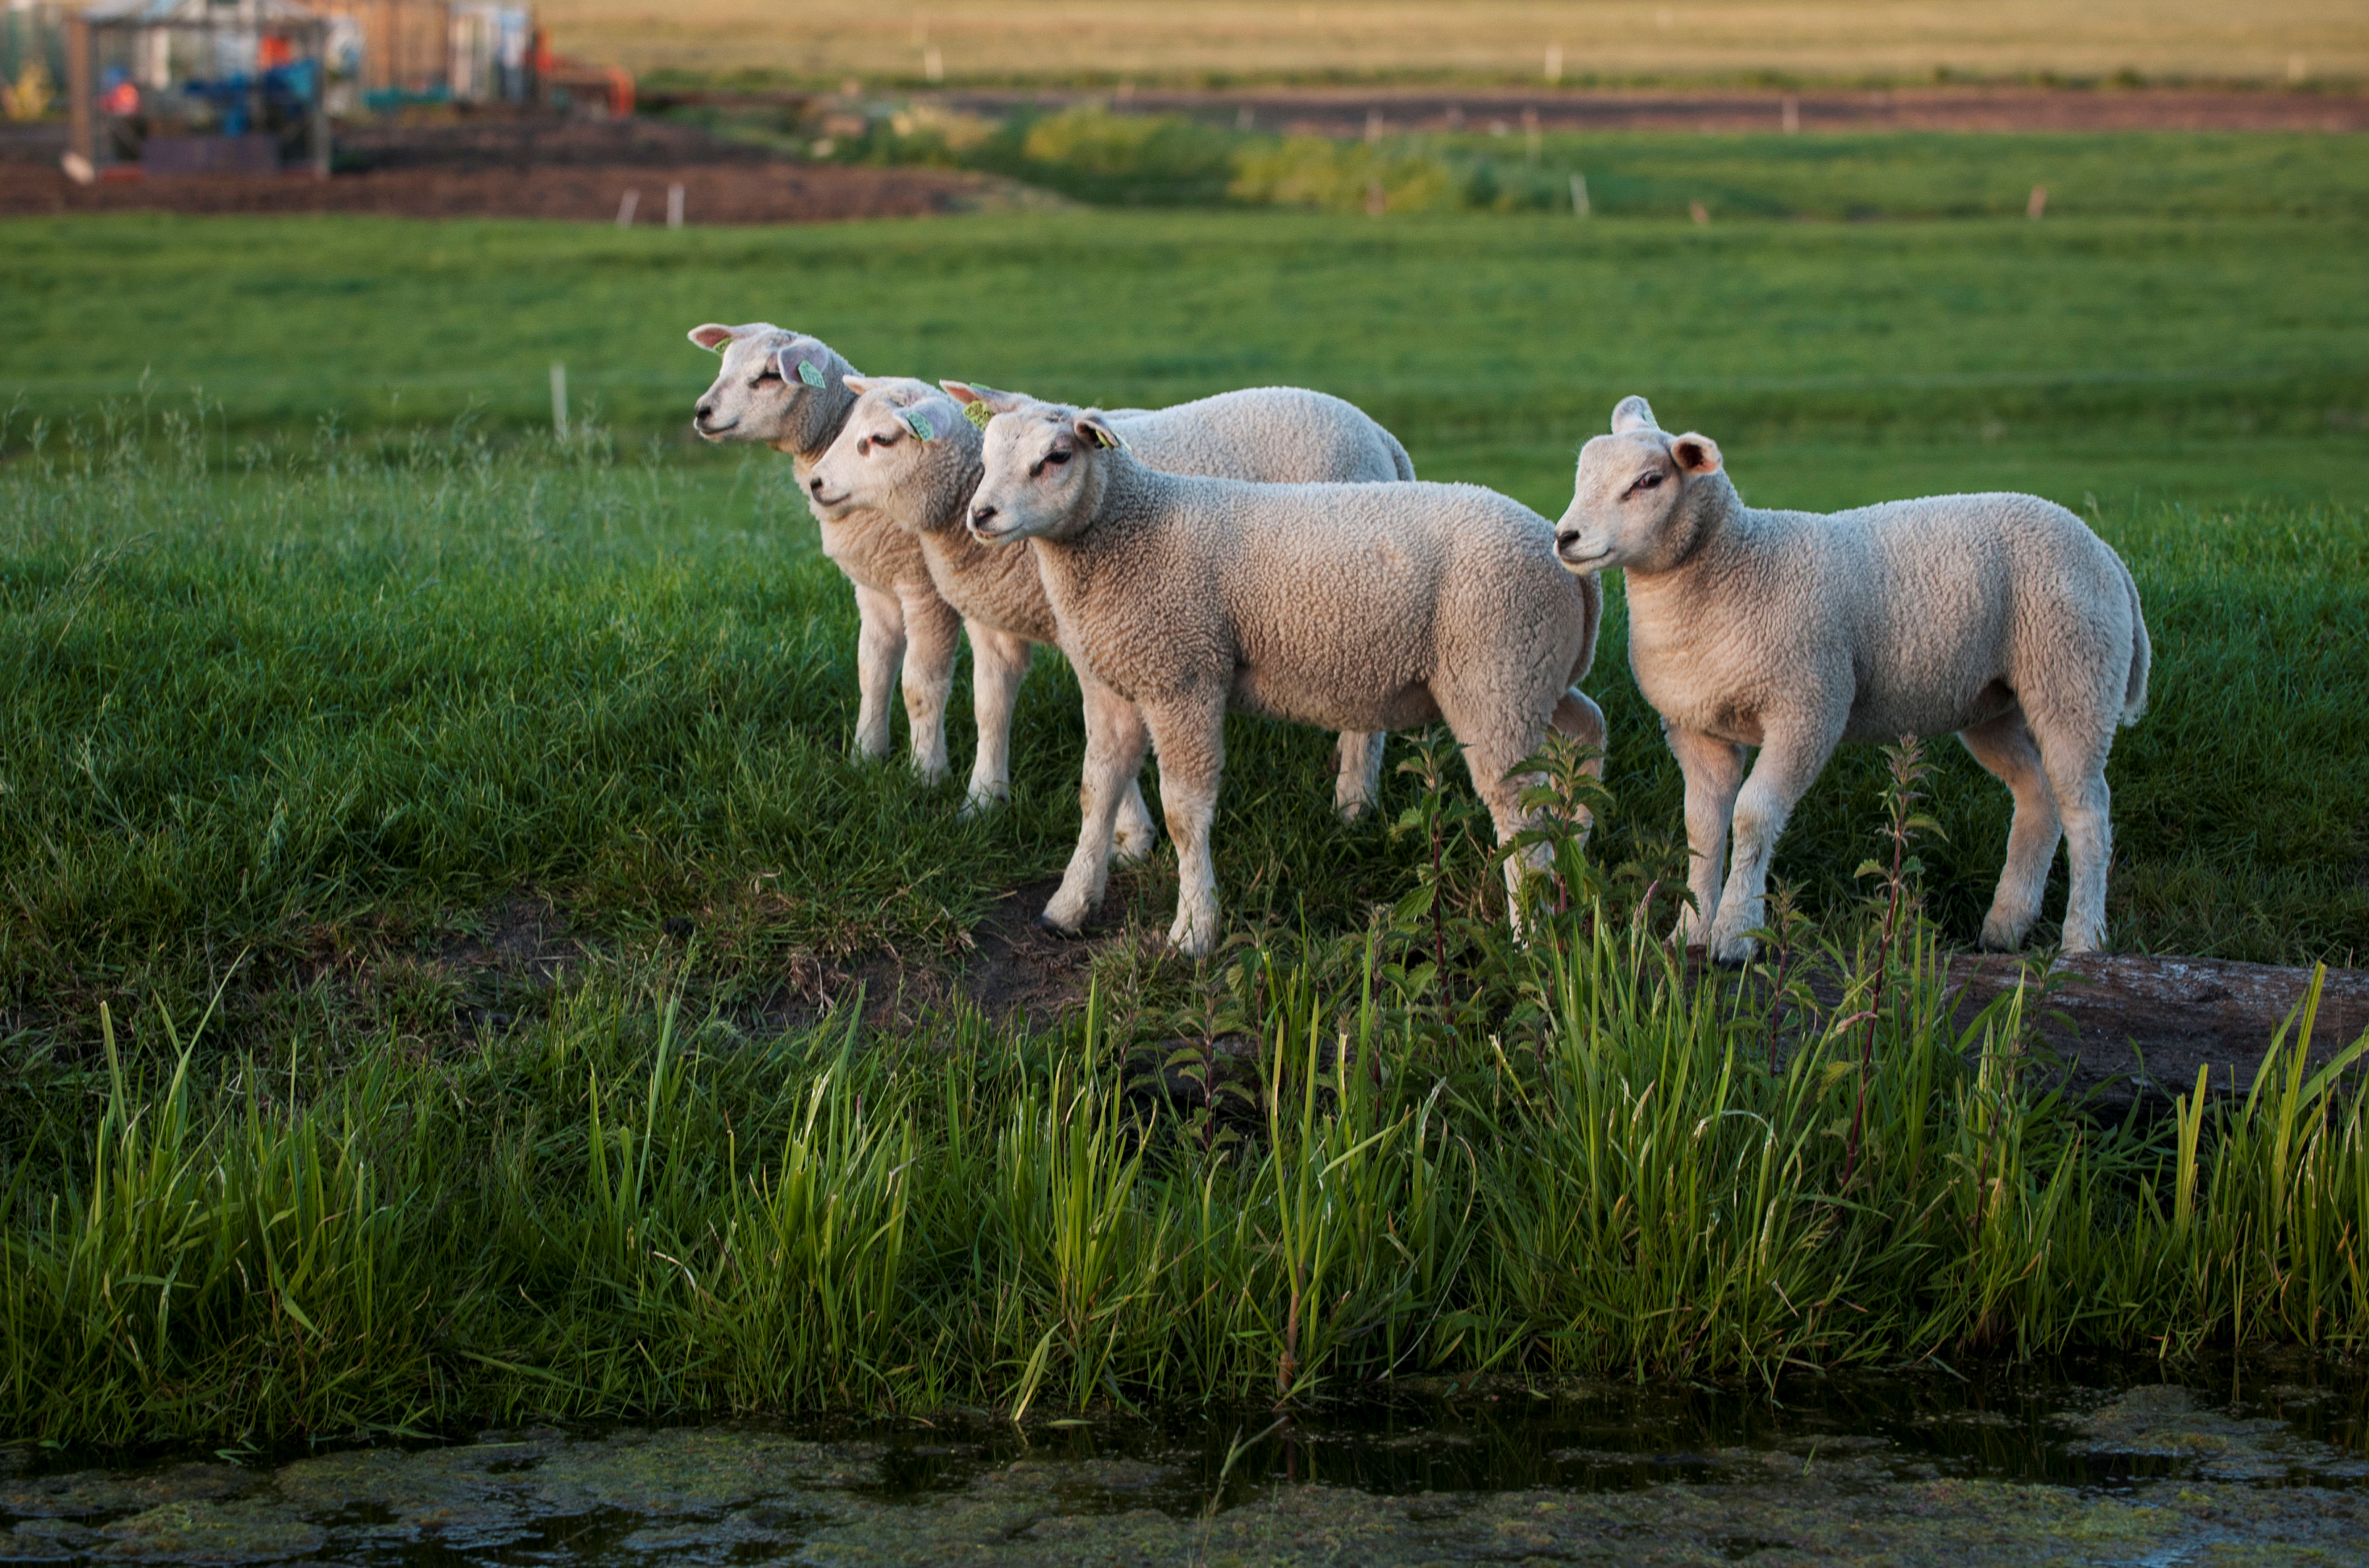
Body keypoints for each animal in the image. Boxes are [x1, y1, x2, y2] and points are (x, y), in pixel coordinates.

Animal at [687, 322, 961, 786]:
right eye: (725, 364)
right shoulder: (874, 584)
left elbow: (921, 686)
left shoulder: (927, 591)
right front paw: (865, 756)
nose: (702, 412)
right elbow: (872, 671)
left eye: (768, 375)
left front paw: (927, 776)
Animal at [805, 379, 1412, 833]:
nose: (815, 483)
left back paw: (1353, 805)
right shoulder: (993, 620)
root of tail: (1380, 434)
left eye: (881, 439)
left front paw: (1129, 834)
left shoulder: (1098, 630)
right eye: (986, 451)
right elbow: (990, 707)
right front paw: (982, 800)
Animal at [961, 393, 1611, 957]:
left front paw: (1192, 931)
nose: (980, 515)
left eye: (1056, 457)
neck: (1129, 530)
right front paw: (1069, 907)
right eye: (985, 456)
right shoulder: (1117, 683)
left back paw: (1530, 934)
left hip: (1494, 674)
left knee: (1518, 810)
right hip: (1533, 673)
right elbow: (1096, 792)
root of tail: (1560, 554)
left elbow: (1183, 813)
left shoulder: (1185, 678)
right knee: (1586, 730)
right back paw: (1575, 842)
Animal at [1554, 395, 2151, 957]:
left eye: (1648, 481)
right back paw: (2006, 925)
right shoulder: (1695, 728)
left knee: (2087, 810)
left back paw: (2082, 937)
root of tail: (2101, 548)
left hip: (2074, 675)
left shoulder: (1808, 709)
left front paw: (1735, 935)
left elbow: (1753, 817)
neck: (1735, 568)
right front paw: (1688, 933)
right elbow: (1701, 830)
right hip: (1992, 702)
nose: (1565, 537)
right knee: (2037, 796)